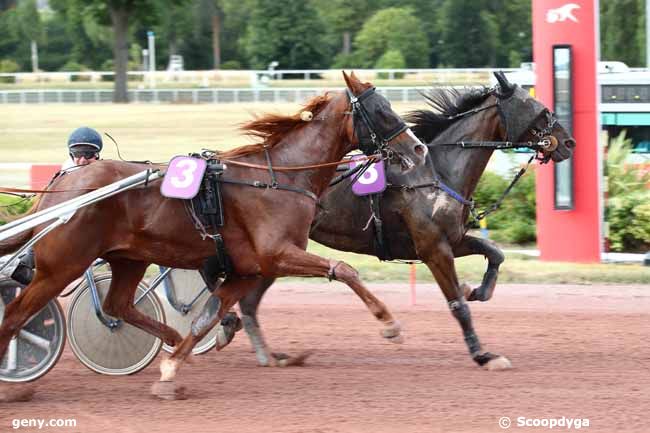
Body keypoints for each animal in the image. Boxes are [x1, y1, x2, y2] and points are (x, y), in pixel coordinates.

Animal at [0, 72, 428, 400]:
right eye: (380, 110)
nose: (420, 148)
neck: (278, 177)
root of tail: (62, 184)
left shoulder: (247, 269)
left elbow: (208, 316)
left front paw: (171, 370)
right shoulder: (276, 254)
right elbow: (344, 269)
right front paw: (390, 324)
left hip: (129, 258)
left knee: (118, 305)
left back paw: (171, 338)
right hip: (63, 264)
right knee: (15, 315)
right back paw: (12, 384)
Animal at [216, 72, 572, 370]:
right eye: (540, 110)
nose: (569, 143)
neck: (433, 172)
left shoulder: (451, 240)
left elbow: (495, 253)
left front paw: (477, 289)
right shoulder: (433, 248)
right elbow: (457, 305)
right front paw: (483, 354)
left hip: (282, 250)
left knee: (248, 300)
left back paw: (255, 345)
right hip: (280, 248)